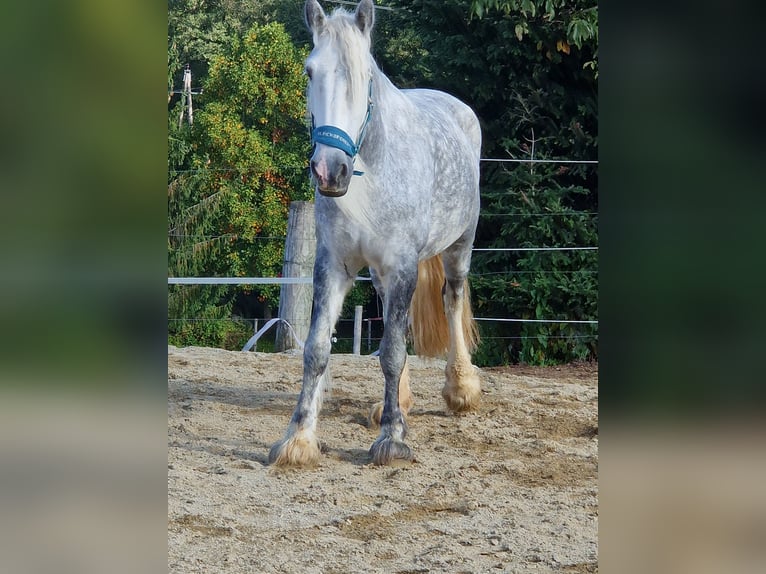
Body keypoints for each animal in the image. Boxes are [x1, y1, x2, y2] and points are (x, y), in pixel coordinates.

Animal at [272, 0, 480, 468]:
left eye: (364, 76)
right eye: (309, 71)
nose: (330, 170)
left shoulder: (402, 265)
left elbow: (392, 352)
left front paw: (393, 439)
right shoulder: (334, 265)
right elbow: (317, 350)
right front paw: (299, 439)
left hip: (460, 244)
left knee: (452, 299)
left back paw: (461, 389)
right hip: (383, 275)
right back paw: (397, 402)